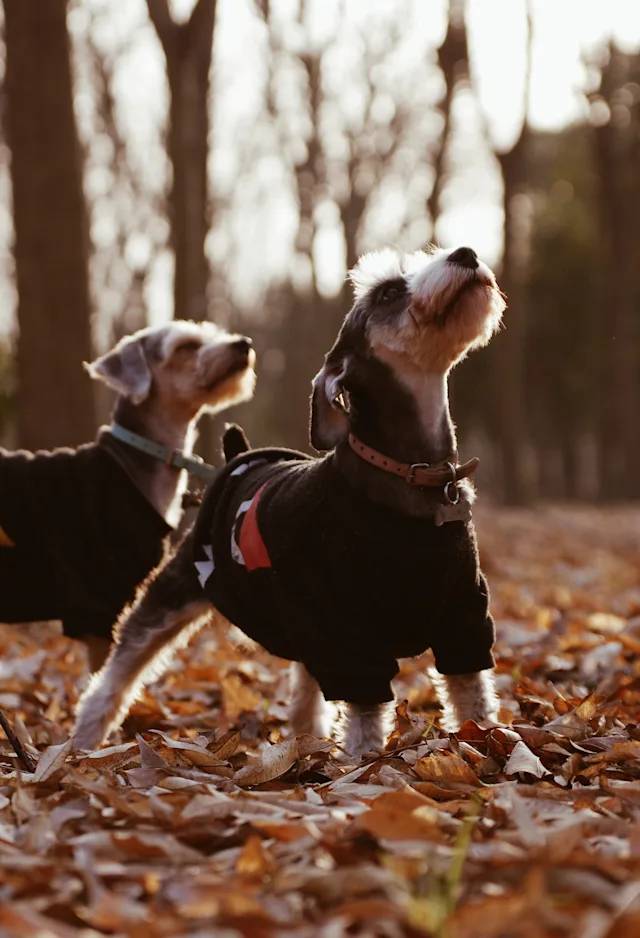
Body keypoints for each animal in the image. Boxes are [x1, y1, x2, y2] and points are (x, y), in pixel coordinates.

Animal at [74, 247, 504, 752]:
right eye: (388, 292)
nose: (466, 253)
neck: (410, 473)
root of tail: (238, 459)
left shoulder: (464, 621)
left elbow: (473, 700)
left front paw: (490, 745)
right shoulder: (345, 638)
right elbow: (364, 723)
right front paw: (364, 763)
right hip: (177, 591)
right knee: (117, 673)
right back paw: (81, 743)